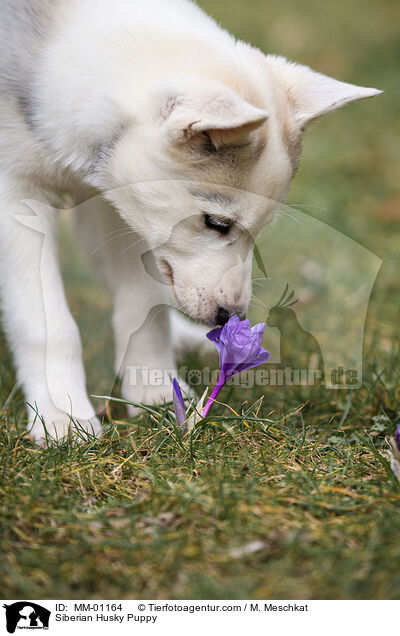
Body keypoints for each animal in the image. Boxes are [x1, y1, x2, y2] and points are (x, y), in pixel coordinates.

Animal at [0, 0, 382, 440]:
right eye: (216, 222)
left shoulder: (117, 205)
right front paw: (62, 415)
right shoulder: (17, 197)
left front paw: (153, 391)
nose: (231, 318)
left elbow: (141, 302)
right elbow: (47, 323)